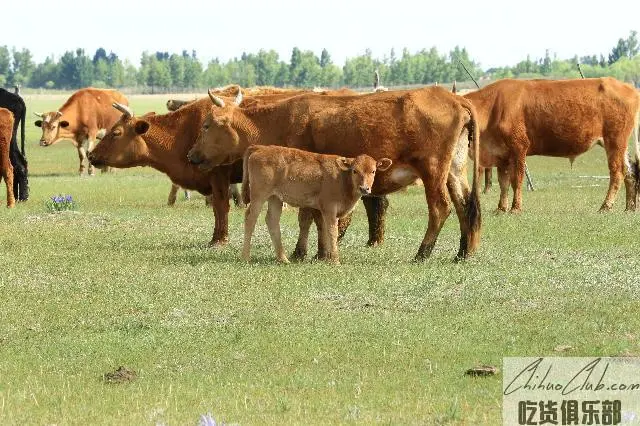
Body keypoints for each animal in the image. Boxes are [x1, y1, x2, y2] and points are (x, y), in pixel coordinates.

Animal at [240, 146, 392, 262]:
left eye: (373, 171)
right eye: (355, 171)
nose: (364, 188)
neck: (342, 177)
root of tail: (260, 148)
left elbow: (324, 230)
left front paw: (325, 258)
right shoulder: (330, 209)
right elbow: (332, 231)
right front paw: (335, 260)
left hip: (275, 198)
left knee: (272, 220)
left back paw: (283, 259)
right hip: (259, 196)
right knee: (250, 218)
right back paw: (246, 257)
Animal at [464, 77, 640, 212]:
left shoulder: (519, 148)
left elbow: (516, 180)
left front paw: (515, 208)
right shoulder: (502, 154)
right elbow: (503, 182)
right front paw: (501, 209)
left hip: (615, 141)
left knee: (617, 172)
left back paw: (606, 206)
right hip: (615, 144)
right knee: (630, 171)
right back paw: (630, 207)